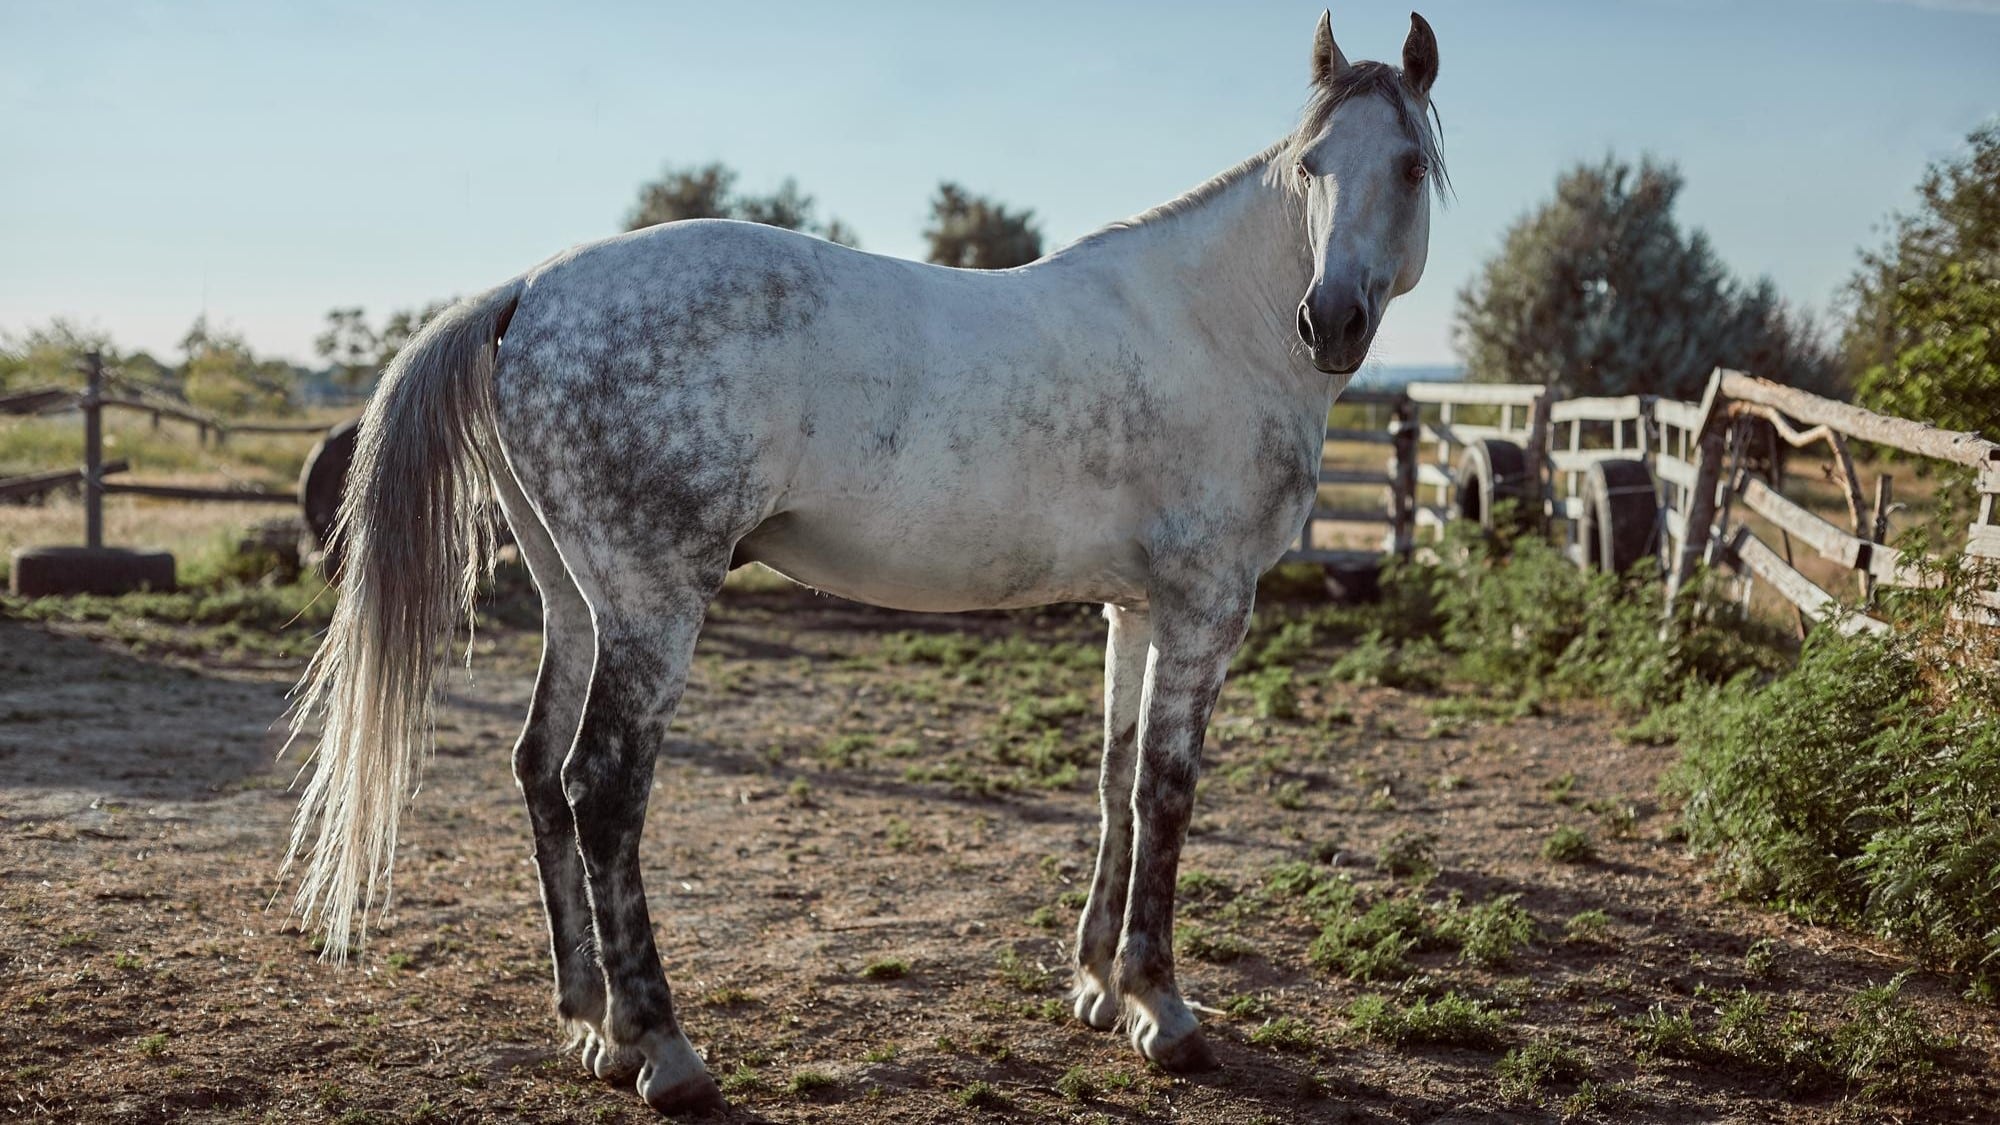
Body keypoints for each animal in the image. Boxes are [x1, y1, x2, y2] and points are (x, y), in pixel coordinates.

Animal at [285, 11, 1447, 1114]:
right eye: (1310, 166)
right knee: (600, 788)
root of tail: (525, 290)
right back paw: (663, 1050)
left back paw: (592, 1026)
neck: (1211, 326)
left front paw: (1097, 986)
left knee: (537, 770)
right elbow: (1166, 791)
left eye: (1402, 165)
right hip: (652, 606)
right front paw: (1161, 1009)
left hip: (579, 602)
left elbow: (1115, 782)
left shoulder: (1137, 610)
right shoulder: (1207, 605)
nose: (1331, 320)